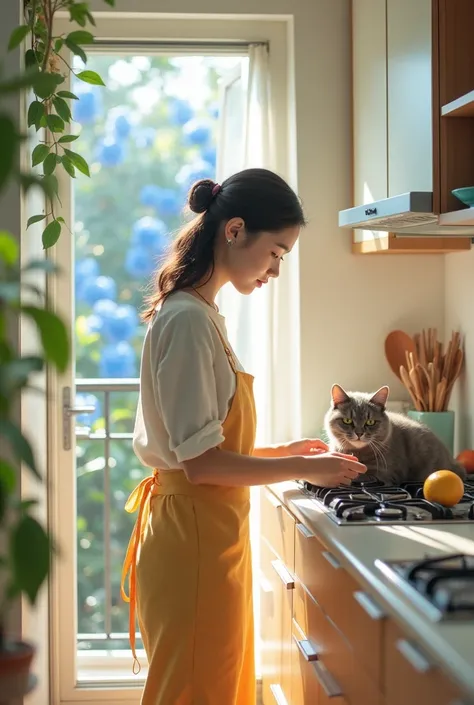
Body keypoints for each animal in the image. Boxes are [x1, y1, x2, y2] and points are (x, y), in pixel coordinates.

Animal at [324, 382, 464, 486]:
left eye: (370, 422)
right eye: (347, 420)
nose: (359, 433)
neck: (357, 452)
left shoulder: (386, 473)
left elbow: (362, 475)